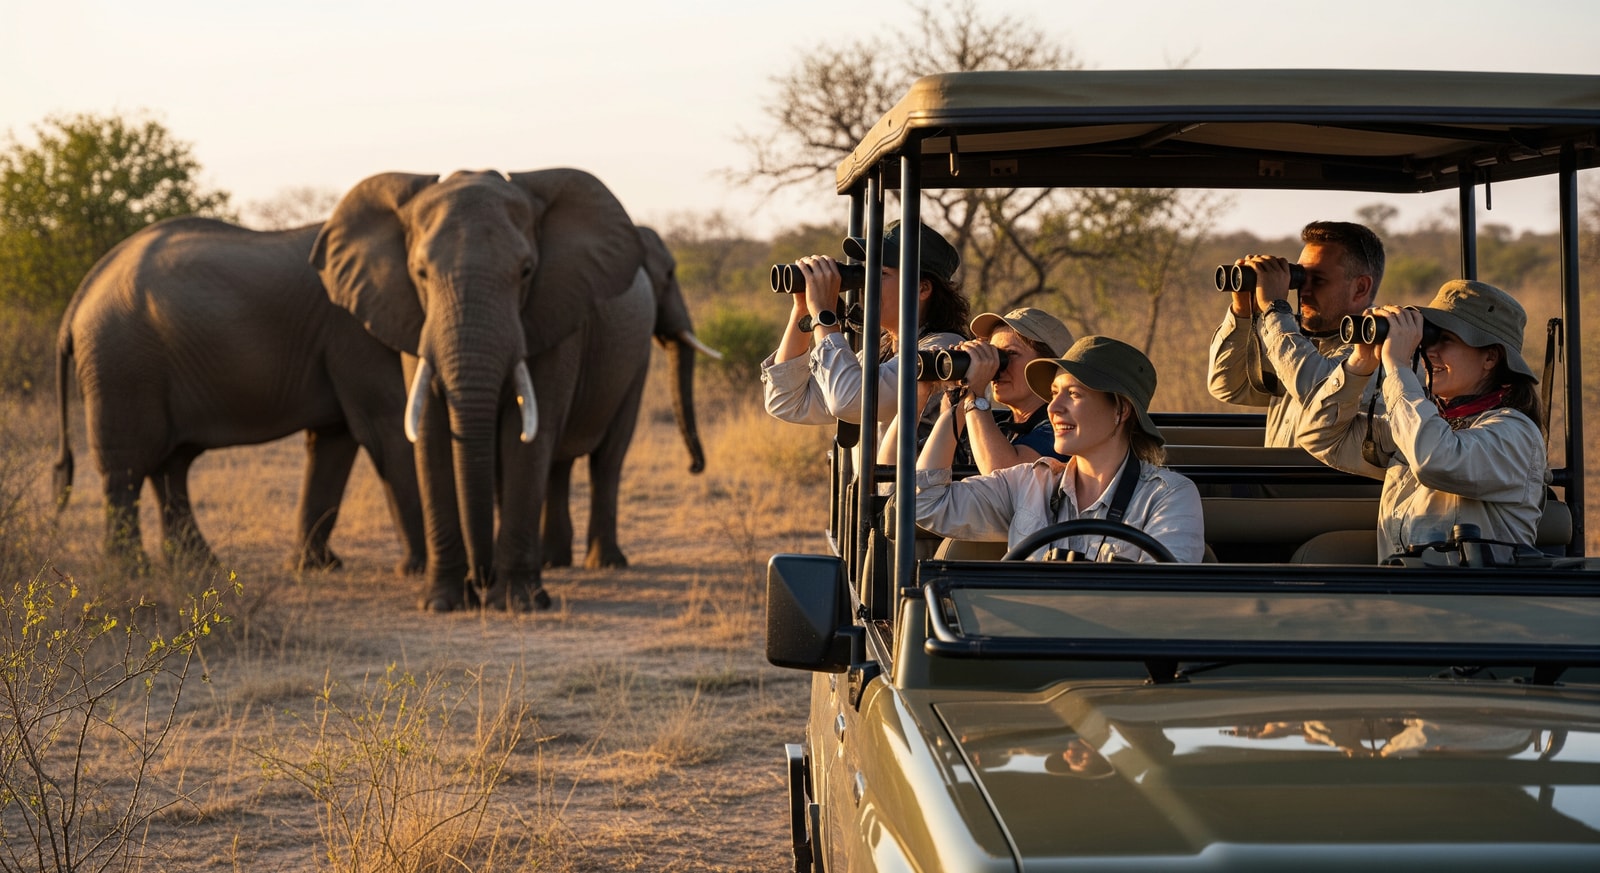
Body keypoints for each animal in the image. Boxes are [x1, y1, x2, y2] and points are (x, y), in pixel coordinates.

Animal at [54, 216, 427, 573]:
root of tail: (78, 298)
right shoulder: (353, 329)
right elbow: (386, 426)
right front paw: (418, 570)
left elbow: (335, 439)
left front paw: (316, 567)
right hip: (122, 366)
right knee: (128, 466)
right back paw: (134, 571)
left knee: (169, 464)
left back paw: (197, 566)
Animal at [310, 169, 712, 612]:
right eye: (420, 273)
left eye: (526, 271)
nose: (695, 467)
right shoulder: (411, 320)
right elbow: (430, 434)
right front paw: (442, 604)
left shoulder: (557, 311)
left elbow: (525, 435)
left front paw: (519, 603)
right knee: (559, 462)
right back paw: (552, 561)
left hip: (632, 353)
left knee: (606, 457)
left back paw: (604, 564)